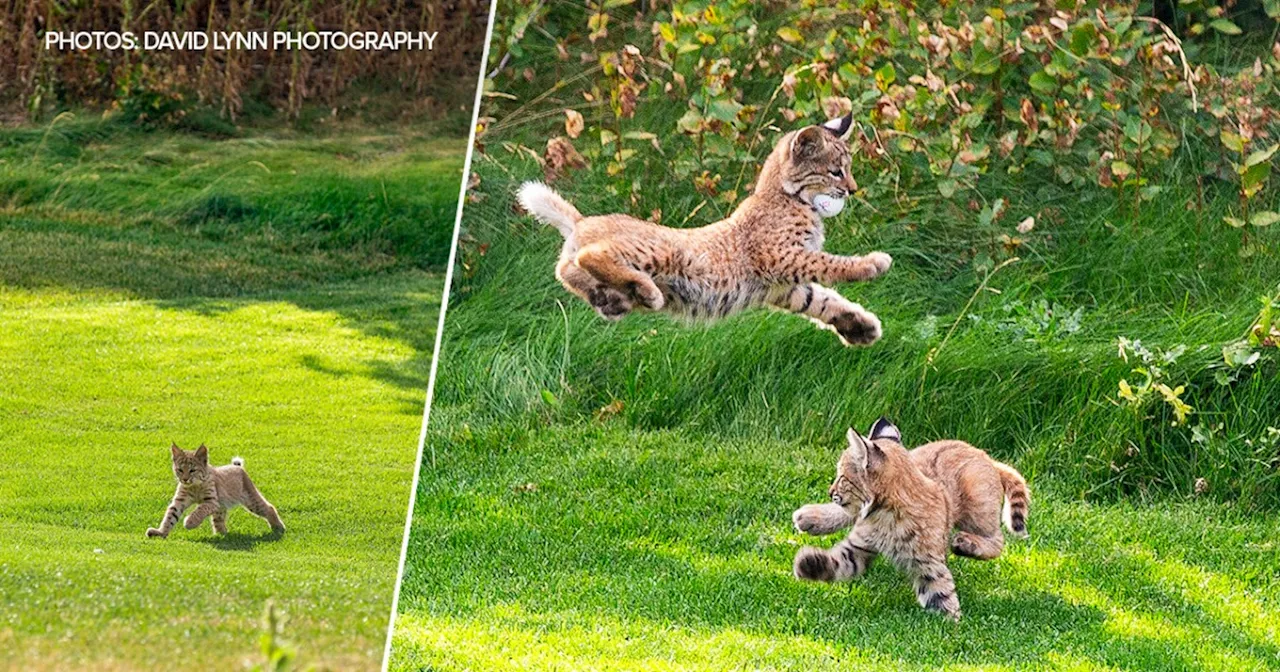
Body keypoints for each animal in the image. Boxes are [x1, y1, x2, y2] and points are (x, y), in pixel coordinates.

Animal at [147, 442, 285, 537]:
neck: (194, 486)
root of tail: (236, 467)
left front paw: (190, 522)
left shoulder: (211, 501)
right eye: (180, 470)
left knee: (268, 507)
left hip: (251, 500)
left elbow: (200, 509)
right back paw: (222, 534)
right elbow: (170, 515)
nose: (185, 479)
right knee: (218, 520)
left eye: (192, 470)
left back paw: (279, 528)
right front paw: (161, 532)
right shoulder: (180, 501)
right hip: (222, 506)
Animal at [514, 111, 896, 345]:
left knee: (564, 268)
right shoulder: (779, 257)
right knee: (591, 256)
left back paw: (609, 297)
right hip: (664, 251)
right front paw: (871, 264)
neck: (788, 197)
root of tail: (584, 219)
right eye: (836, 171)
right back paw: (646, 290)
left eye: (847, 169)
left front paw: (860, 327)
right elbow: (829, 264)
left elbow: (823, 300)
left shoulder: (784, 286)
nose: (853, 189)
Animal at [788, 419, 1029, 619]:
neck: (884, 513)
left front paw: (954, 628)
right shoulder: (858, 547)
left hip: (977, 511)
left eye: (842, 478)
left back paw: (965, 543)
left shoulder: (927, 562)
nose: (830, 492)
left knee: (998, 541)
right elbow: (837, 561)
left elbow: (940, 591)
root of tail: (985, 455)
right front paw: (806, 565)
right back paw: (809, 517)